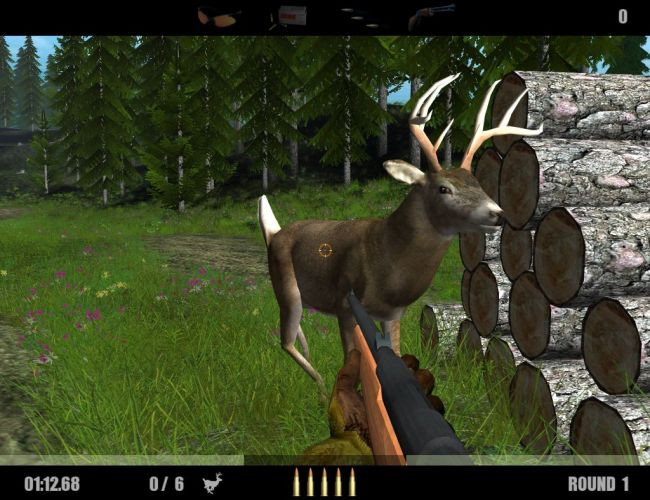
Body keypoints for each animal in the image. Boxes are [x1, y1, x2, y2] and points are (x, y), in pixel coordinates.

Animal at [258, 73, 543, 396]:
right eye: (444, 188)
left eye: (479, 184)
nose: (498, 213)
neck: (387, 261)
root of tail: (274, 233)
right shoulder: (345, 305)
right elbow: (351, 359)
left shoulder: (393, 313)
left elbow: (391, 352)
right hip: (285, 284)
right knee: (286, 340)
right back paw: (319, 388)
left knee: (298, 335)